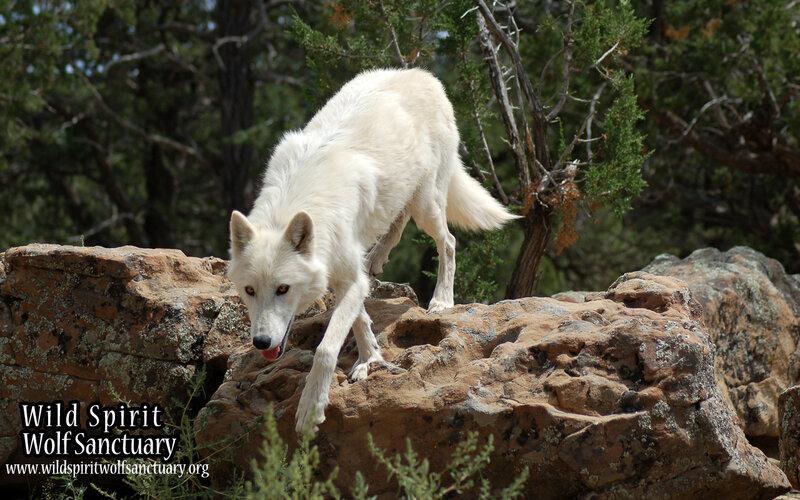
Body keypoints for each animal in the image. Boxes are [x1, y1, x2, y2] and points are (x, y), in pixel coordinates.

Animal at [227, 68, 518, 434]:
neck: (298, 200)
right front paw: (371, 359)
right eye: (250, 291)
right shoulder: (347, 279)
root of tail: (424, 74)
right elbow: (359, 320)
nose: (261, 343)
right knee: (397, 222)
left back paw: (441, 300)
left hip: (427, 206)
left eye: (283, 289)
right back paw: (377, 259)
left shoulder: (350, 279)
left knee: (448, 242)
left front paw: (310, 409)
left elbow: (326, 348)